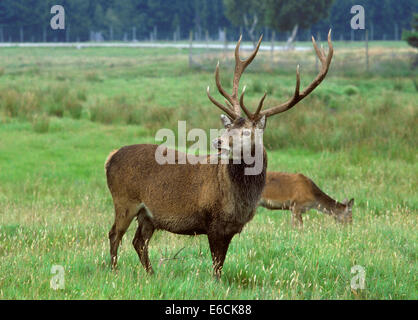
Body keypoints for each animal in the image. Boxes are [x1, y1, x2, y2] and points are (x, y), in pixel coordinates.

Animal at [106, 31, 334, 278]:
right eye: (227, 127)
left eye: (246, 131)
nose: (218, 141)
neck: (238, 200)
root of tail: (110, 158)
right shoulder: (213, 222)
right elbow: (216, 266)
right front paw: (215, 283)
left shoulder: (230, 228)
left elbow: (220, 263)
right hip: (124, 199)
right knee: (114, 234)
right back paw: (114, 271)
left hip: (147, 214)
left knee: (139, 242)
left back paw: (151, 274)